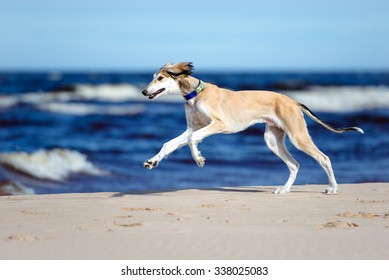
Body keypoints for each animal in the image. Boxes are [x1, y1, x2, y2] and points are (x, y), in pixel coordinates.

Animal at [142, 62, 364, 194]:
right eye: (154, 77)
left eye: (160, 78)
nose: (144, 91)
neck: (196, 93)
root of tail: (292, 101)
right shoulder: (193, 128)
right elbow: (170, 143)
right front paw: (152, 161)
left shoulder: (220, 124)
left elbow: (191, 140)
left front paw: (199, 159)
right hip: (273, 140)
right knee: (294, 164)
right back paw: (284, 190)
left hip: (298, 136)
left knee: (323, 158)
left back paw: (333, 188)